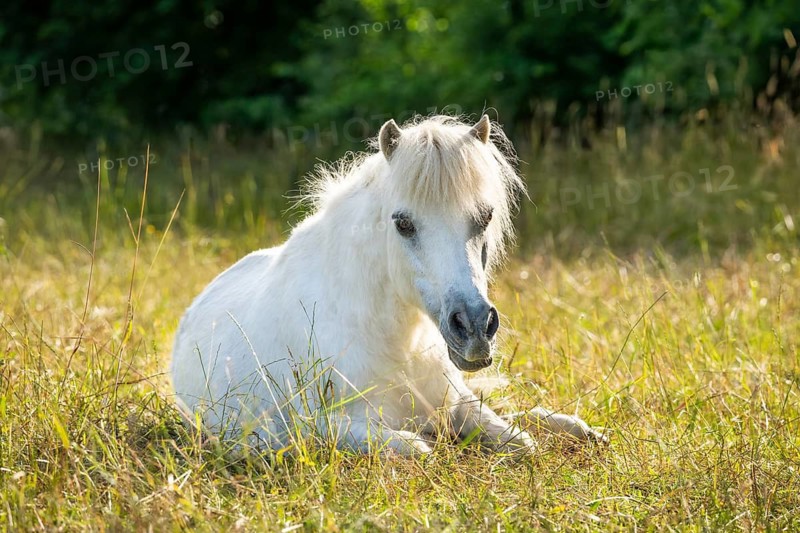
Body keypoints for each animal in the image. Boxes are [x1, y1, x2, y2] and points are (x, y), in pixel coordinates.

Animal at [170, 115, 603, 455]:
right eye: (403, 223)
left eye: (486, 216)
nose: (475, 329)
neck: (395, 342)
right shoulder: (328, 427)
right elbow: (421, 448)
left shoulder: (455, 401)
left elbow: (514, 437)